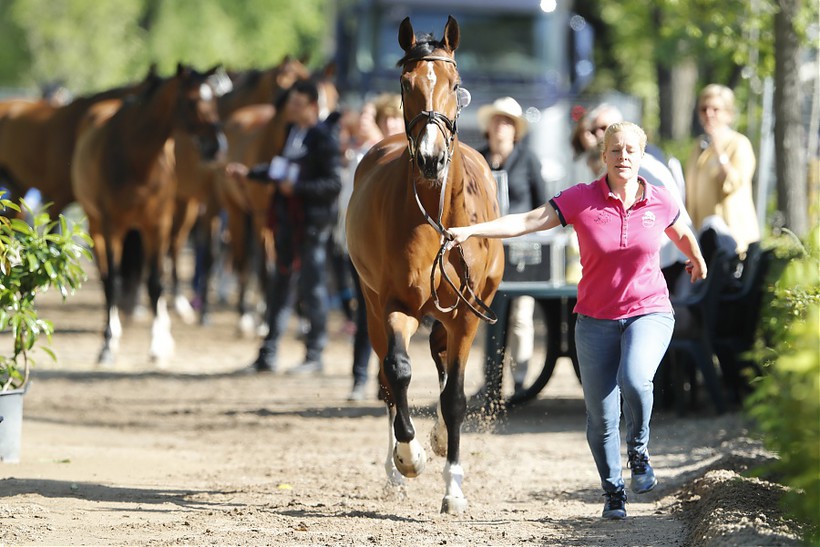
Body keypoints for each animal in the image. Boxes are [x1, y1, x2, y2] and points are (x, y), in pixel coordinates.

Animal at [70, 63, 223, 364]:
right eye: (192, 101)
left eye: (213, 99)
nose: (216, 146)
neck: (138, 158)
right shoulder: (112, 227)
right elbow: (113, 281)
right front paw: (107, 345)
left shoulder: (158, 225)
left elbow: (155, 283)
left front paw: (158, 344)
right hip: (97, 225)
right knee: (107, 276)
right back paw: (113, 334)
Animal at [344, 17, 502, 512]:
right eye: (406, 83)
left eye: (454, 83)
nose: (431, 158)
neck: (435, 215)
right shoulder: (396, 305)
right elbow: (398, 372)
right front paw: (408, 456)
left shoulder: (467, 314)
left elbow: (454, 397)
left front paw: (453, 487)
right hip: (374, 307)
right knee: (388, 375)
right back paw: (398, 466)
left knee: (442, 361)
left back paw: (439, 438)